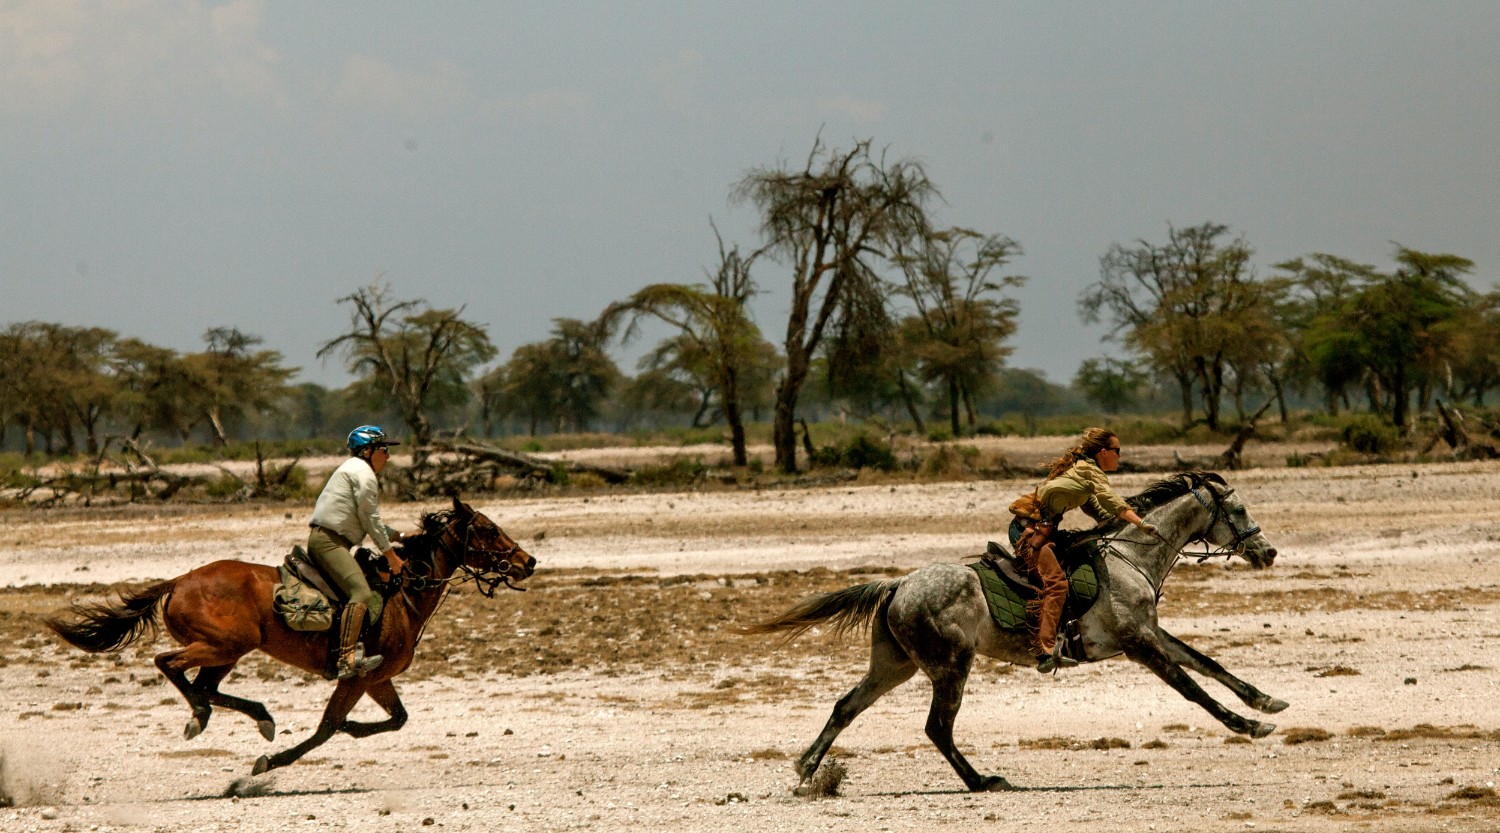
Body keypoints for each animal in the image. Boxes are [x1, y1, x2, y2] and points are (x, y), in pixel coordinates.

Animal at [43, 495, 537, 774]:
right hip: (226, 646)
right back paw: (201, 716)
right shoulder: (357, 677)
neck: (403, 591)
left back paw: (254, 717)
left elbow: (396, 719)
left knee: (204, 685)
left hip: (226, 652)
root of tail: (178, 581)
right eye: (488, 530)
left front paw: (350, 728)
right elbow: (327, 728)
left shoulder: (377, 680)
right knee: (169, 665)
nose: (527, 561)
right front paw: (270, 764)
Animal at [738, 471, 1278, 792]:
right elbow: (1192, 689)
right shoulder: (1138, 644)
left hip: (894, 667)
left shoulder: (1150, 634)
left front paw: (1267, 703)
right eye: (1240, 511)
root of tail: (898, 585)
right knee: (937, 727)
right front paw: (1248, 726)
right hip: (951, 667)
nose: (1268, 552)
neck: (1130, 557)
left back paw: (806, 771)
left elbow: (1208, 663)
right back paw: (983, 782)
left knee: (846, 707)